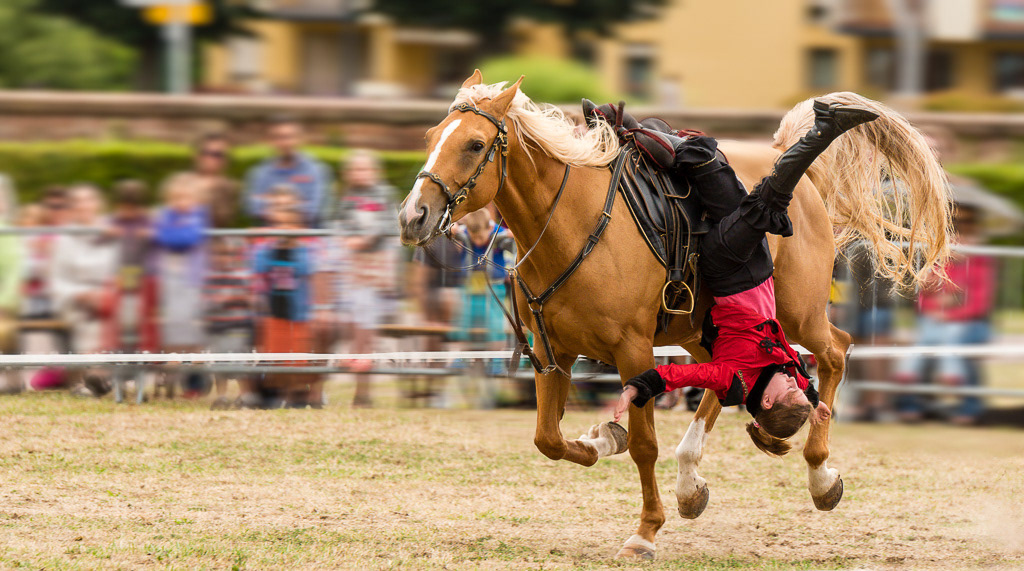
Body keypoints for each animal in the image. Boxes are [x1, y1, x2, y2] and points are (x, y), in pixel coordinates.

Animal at [397, 69, 951, 559]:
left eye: (474, 145)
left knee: (835, 351)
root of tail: (778, 160)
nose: (412, 216)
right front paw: (604, 439)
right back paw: (695, 479)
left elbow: (644, 446)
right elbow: (548, 439)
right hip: (701, 329)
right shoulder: (555, 354)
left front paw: (645, 530)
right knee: (727, 383)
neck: (572, 225)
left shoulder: (633, 351)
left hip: (799, 312)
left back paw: (819, 474)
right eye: (429, 137)